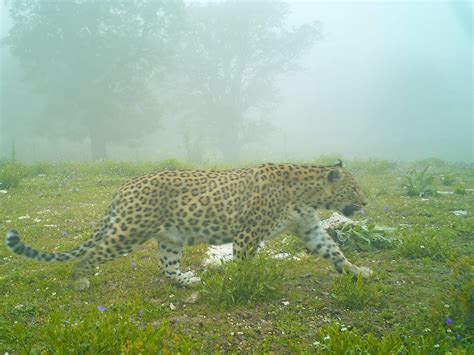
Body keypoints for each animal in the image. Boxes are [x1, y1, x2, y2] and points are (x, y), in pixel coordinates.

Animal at [5, 160, 372, 290]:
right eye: (354, 188)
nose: (366, 202)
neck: (308, 193)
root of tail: (125, 186)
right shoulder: (248, 233)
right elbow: (245, 263)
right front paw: (244, 282)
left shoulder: (309, 229)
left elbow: (335, 252)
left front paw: (358, 272)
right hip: (129, 230)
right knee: (91, 254)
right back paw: (80, 280)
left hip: (171, 237)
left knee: (166, 267)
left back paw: (187, 281)